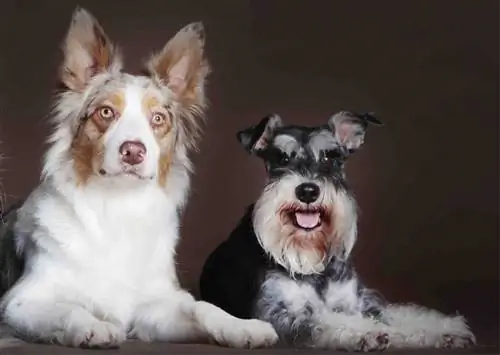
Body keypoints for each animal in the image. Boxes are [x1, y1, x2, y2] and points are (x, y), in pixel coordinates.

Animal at [198, 112, 472, 352]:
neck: (311, 257)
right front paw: (368, 332)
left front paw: (445, 330)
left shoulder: (359, 302)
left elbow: (399, 314)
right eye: (282, 159)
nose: (308, 191)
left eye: (330, 157)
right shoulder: (280, 313)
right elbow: (326, 320)